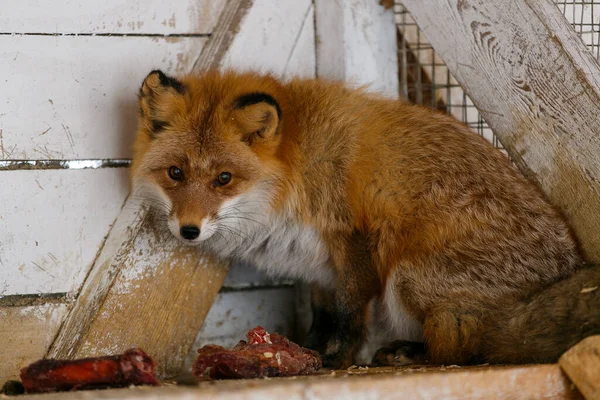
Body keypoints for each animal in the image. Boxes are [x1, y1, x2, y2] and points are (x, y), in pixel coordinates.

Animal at [131, 69, 600, 368]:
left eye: (223, 179)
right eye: (175, 173)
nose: (188, 230)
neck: (294, 171)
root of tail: (566, 271)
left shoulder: (351, 238)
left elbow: (349, 312)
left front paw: (337, 359)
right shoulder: (316, 265)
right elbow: (323, 316)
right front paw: (304, 352)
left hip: (408, 276)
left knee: (463, 347)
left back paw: (416, 355)